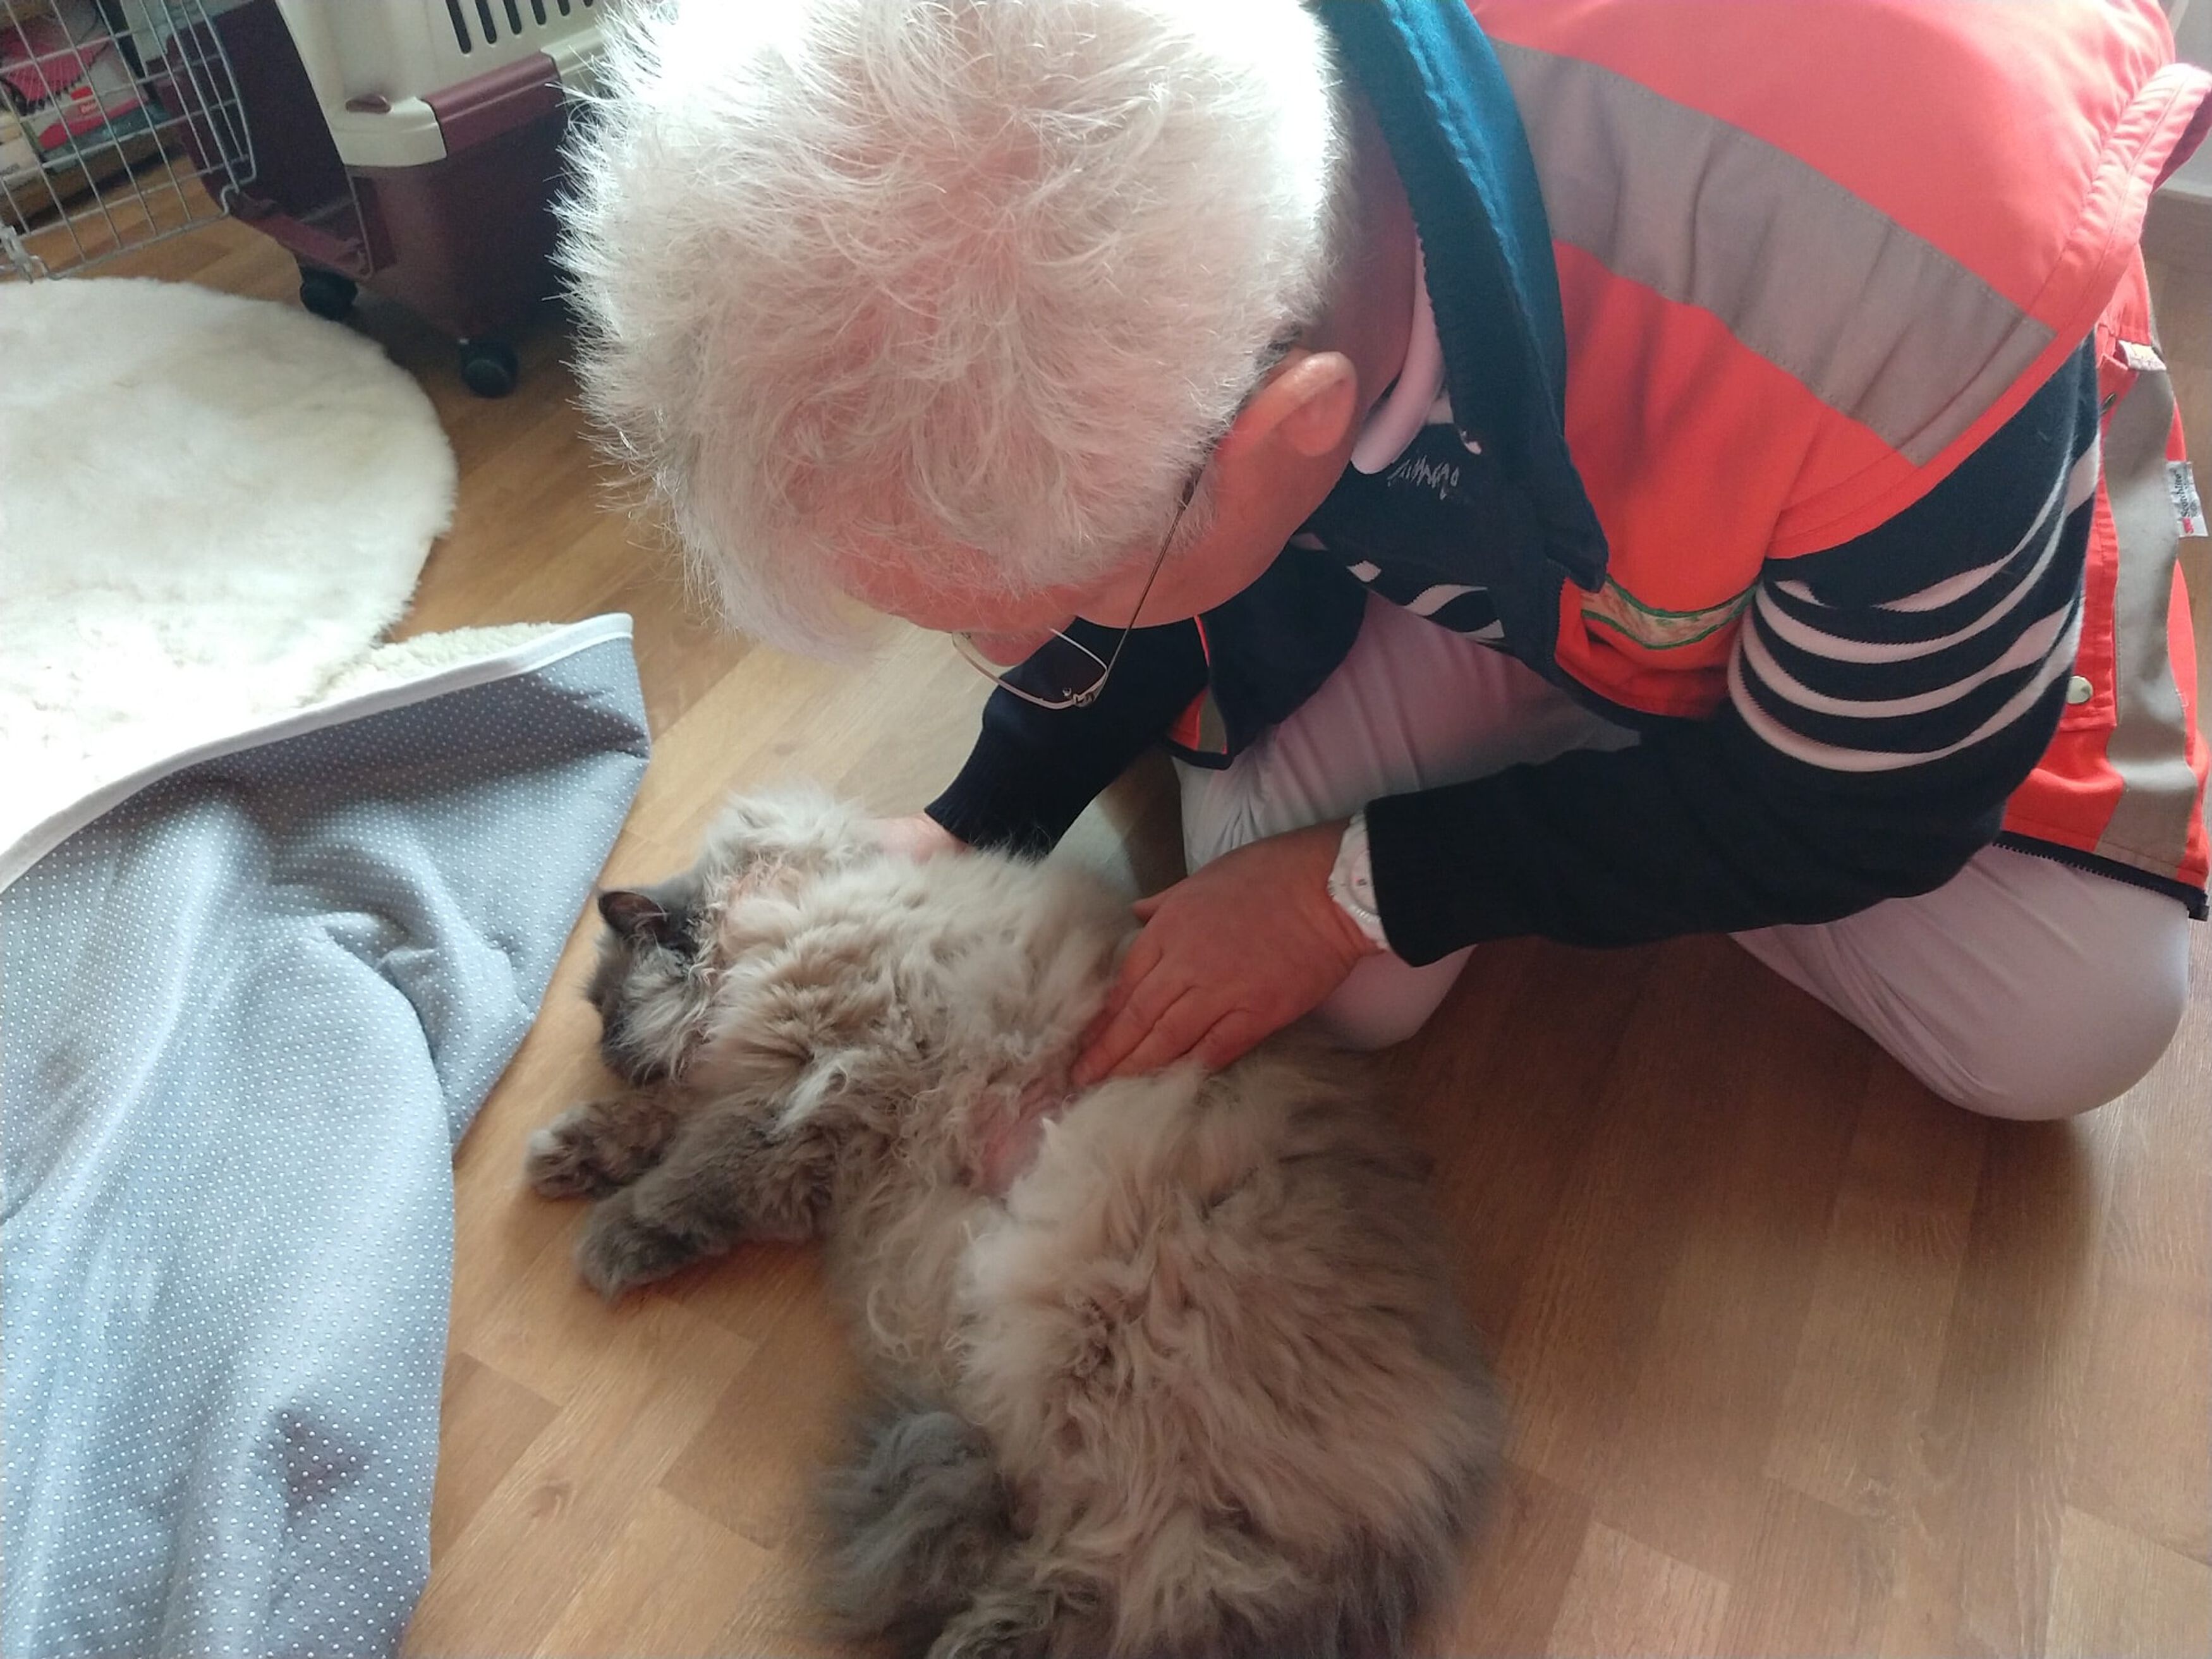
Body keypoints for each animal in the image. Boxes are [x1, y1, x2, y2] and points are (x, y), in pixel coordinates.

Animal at [524, 787, 1501, 1659]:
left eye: (613, 1008)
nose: (609, 1052)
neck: (786, 900)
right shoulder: (776, 1094)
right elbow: (668, 1125)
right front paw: (571, 1153)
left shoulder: (815, 1091)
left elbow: (696, 1176)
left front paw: (614, 1235)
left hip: (1099, 1349)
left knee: (1136, 1581)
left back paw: (980, 1638)